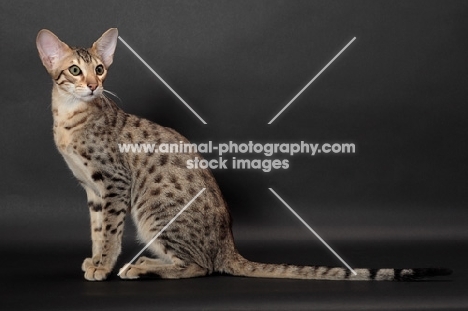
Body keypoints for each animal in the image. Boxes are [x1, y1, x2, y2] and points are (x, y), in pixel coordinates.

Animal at [34, 28, 452, 282]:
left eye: (100, 69)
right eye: (75, 70)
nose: (93, 85)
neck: (69, 118)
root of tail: (229, 246)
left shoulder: (114, 183)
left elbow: (110, 232)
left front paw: (103, 266)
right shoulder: (93, 190)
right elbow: (96, 229)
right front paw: (94, 260)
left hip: (154, 211)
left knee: (199, 266)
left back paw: (141, 267)